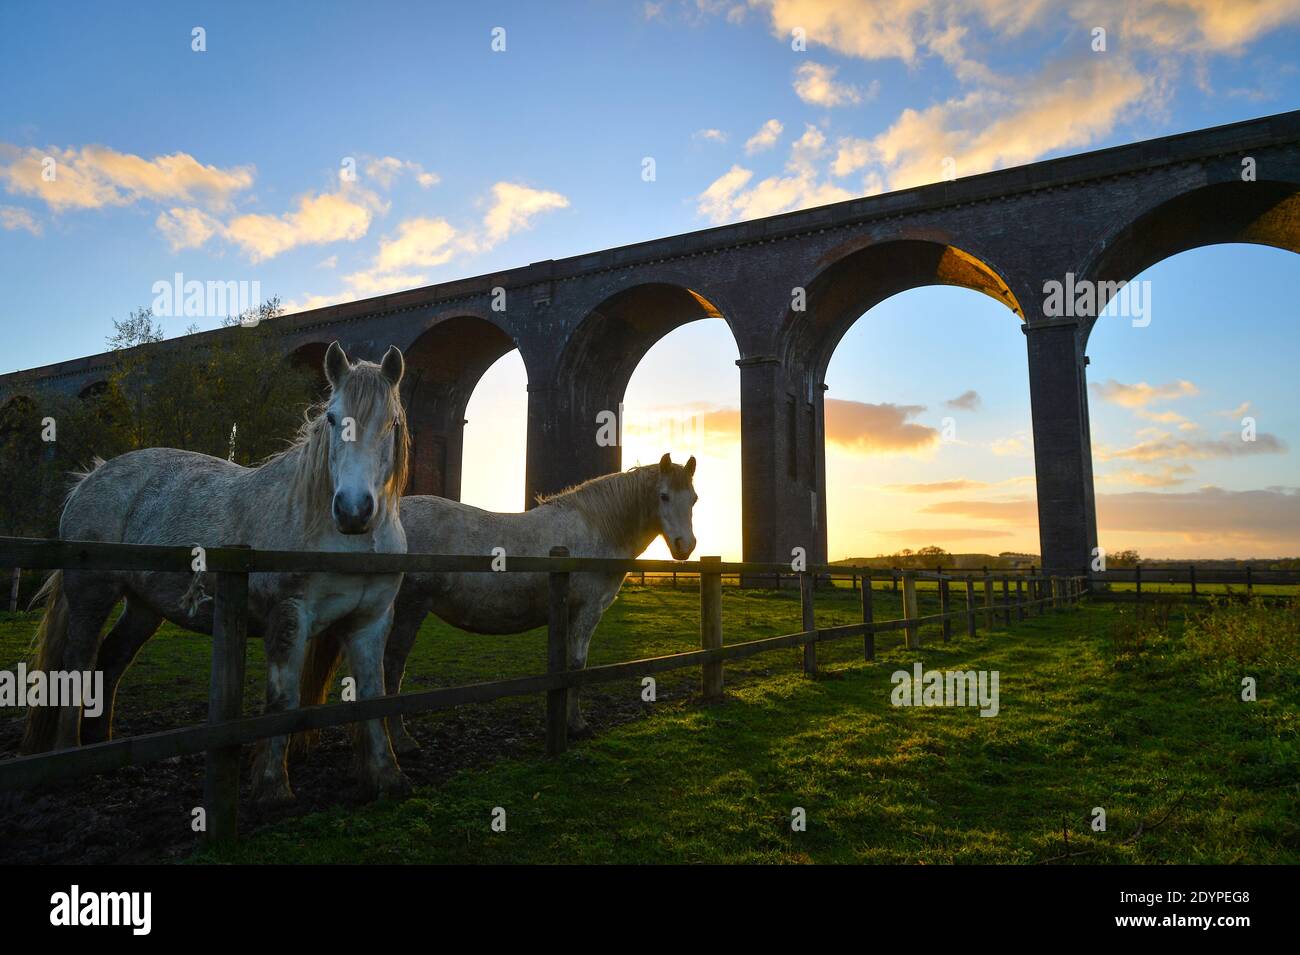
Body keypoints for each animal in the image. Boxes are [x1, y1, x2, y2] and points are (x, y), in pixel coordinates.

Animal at [24, 343, 410, 805]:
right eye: (333, 419)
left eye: (391, 422)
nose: (353, 511)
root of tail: (90, 477)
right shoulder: (290, 616)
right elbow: (282, 699)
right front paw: (271, 787)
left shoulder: (371, 621)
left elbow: (374, 695)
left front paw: (386, 776)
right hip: (91, 596)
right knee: (78, 664)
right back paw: (69, 756)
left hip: (144, 606)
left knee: (112, 659)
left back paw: (105, 749)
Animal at [297, 452, 696, 748]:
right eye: (663, 496)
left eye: (693, 499)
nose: (685, 547)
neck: (595, 528)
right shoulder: (587, 613)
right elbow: (577, 666)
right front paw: (577, 725)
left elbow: (566, 667)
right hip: (408, 610)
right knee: (391, 668)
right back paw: (402, 740)